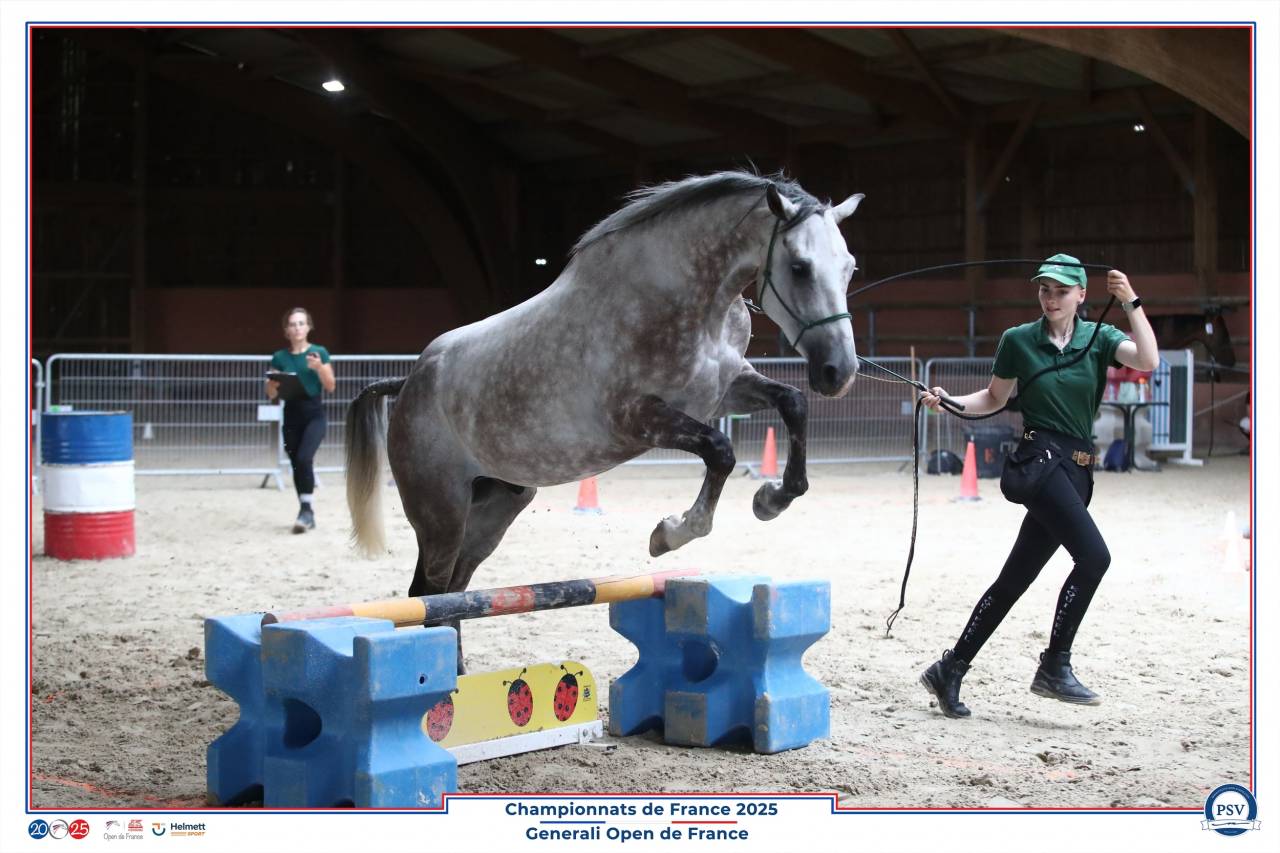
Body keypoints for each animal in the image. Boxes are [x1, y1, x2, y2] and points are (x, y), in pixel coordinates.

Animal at [344, 171, 864, 670]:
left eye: (849, 267)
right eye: (799, 267)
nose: (838, 372)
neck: (687, 301)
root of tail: (409, 383)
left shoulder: (724, 393)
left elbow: (792, 403)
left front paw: (771, 499)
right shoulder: (637, 418)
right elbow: (720, 451)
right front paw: (669, 533)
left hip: (495, 508)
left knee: (455, 591)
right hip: (443, 512)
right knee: (430, 592)